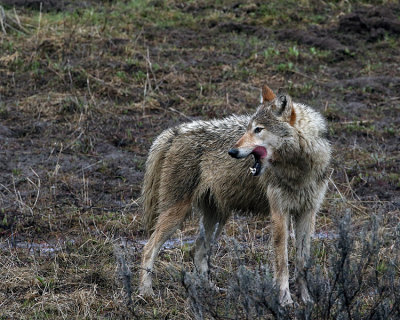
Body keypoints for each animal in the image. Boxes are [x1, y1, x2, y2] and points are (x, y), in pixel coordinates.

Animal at [139, 85, 330, 304]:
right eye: (248, 128)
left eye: (258, 129)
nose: (231, 151)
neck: (298, 169)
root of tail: (175, 132)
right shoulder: (279, 213)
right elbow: (282, 263)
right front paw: (285, 301)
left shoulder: (308, 212)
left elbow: (302, 262)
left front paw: (307, 300)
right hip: (178, 214)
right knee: (148, 248)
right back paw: (145, 292)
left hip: (217, 217)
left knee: (197, 250)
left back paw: (208, 290)